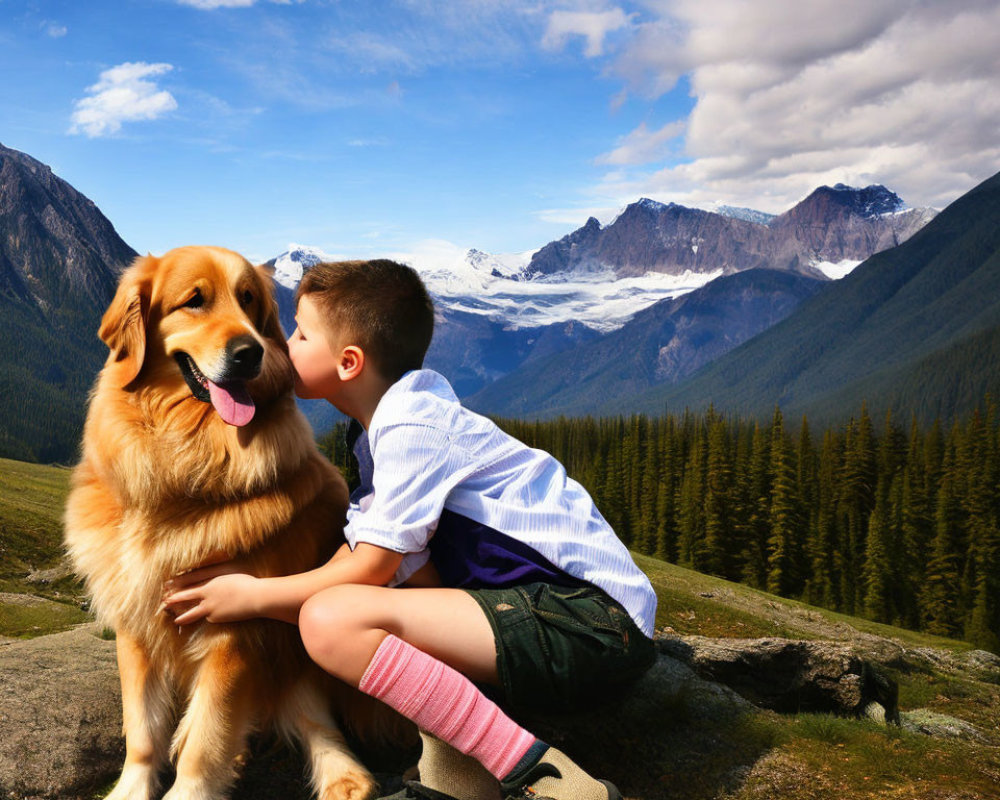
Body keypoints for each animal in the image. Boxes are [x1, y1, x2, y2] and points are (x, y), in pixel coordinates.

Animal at [63, 247, 394, 796]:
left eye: (249, 300)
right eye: (194, 300)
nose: (250, 353)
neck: (182, 465)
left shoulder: (232, 635)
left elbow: (205, 738)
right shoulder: (136, 625)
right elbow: (144, 730)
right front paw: (132, 787)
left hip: (299, 663)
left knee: (315, 724)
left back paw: (343, 777)